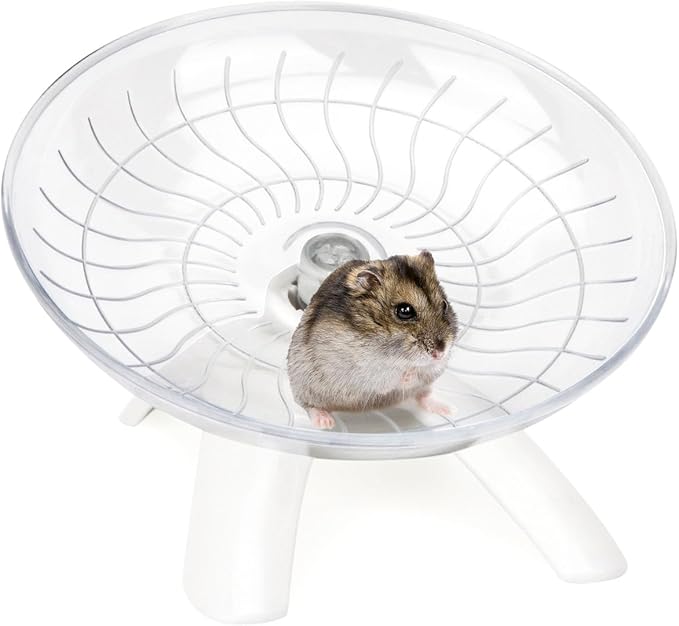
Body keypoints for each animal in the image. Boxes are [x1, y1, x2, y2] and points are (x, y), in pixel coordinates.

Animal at [287, 250, 458, 429]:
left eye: (444, 305)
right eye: (404, 310)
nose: (439, 353)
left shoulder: (436, 367)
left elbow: (427, 371)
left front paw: (417, 370)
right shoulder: (363, 370)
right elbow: (391, 376)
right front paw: (408, 373)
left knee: (423, 395)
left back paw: (450, 410)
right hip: (304, 386)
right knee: (308, 406)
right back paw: (325, 423)